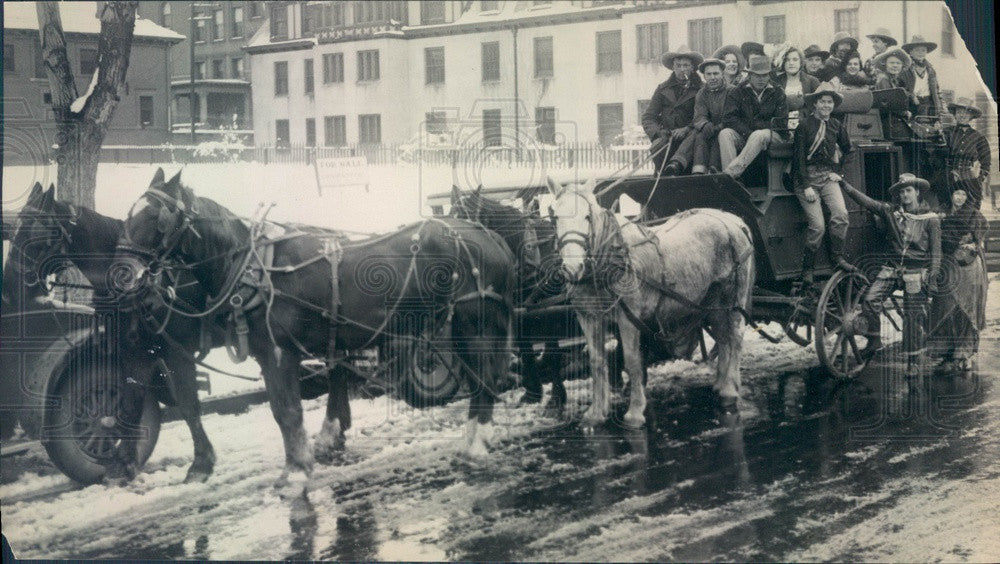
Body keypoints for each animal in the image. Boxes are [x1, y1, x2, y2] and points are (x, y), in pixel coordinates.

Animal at [3, 183, 223, 482]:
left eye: (35, 232)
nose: (8, 291)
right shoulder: (133, 353)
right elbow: (129, 405)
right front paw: (124, 464)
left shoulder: (177, 352)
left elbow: (188, 405)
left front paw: (201, 464)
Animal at [119, 170, 516, 496]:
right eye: (128, 216)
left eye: (156, 218)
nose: (122, 275)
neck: (255, 268)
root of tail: (490, 236)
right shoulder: (266, 355)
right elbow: (280, 411)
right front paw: (297, 465)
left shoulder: (280, 353)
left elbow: (288, 412)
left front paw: (296, 472)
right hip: (458, 326)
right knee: (481, 379)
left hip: (474, 324)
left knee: (484, 379)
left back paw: (477, 443)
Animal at [548, 176, 756, 428]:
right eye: (555, 217)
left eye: (587, 217)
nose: (572, 268)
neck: (611, 256)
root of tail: (733, 220)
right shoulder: (588, 315)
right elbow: (597, 362)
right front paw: (597, 412)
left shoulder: (628, 317)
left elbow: (632, 361)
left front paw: (635, 412)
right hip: (712, 303)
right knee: (724, 336)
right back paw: (722, 383)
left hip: (733, 297)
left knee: (735, 336)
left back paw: (729, 391)